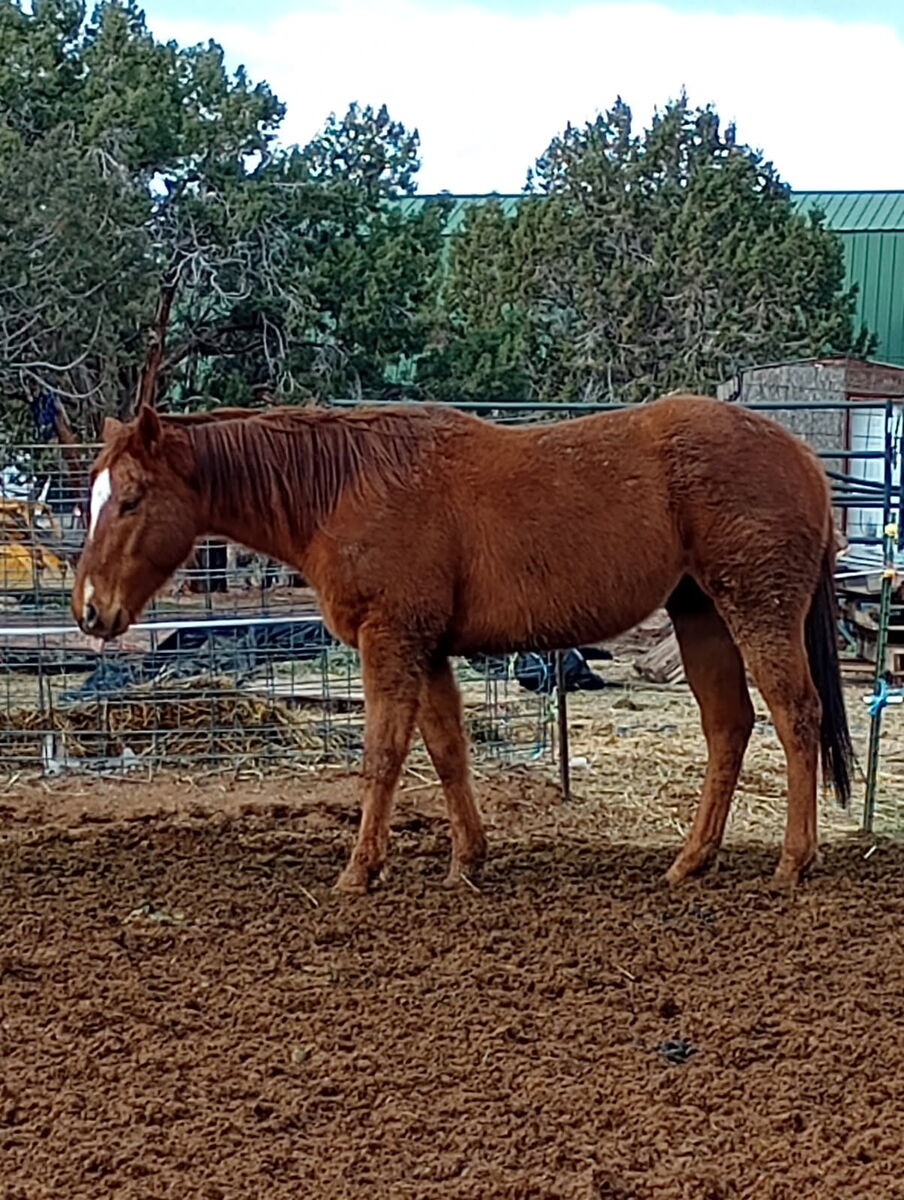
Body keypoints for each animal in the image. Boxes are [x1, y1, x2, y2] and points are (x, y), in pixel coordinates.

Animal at [71, 395, 853, 894]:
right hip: (701, 615)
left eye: (131, 499)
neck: (344, 487)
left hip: (756, 609)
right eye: (92, 496)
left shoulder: (391, 640)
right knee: (729, 727)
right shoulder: (430, 649)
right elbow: (448, 753)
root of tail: (803, 456)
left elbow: (383, 756)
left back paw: (793, 862)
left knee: (795, 717)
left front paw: (360, 870)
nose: (90, 610)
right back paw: (691, 862)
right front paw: (466, 861)